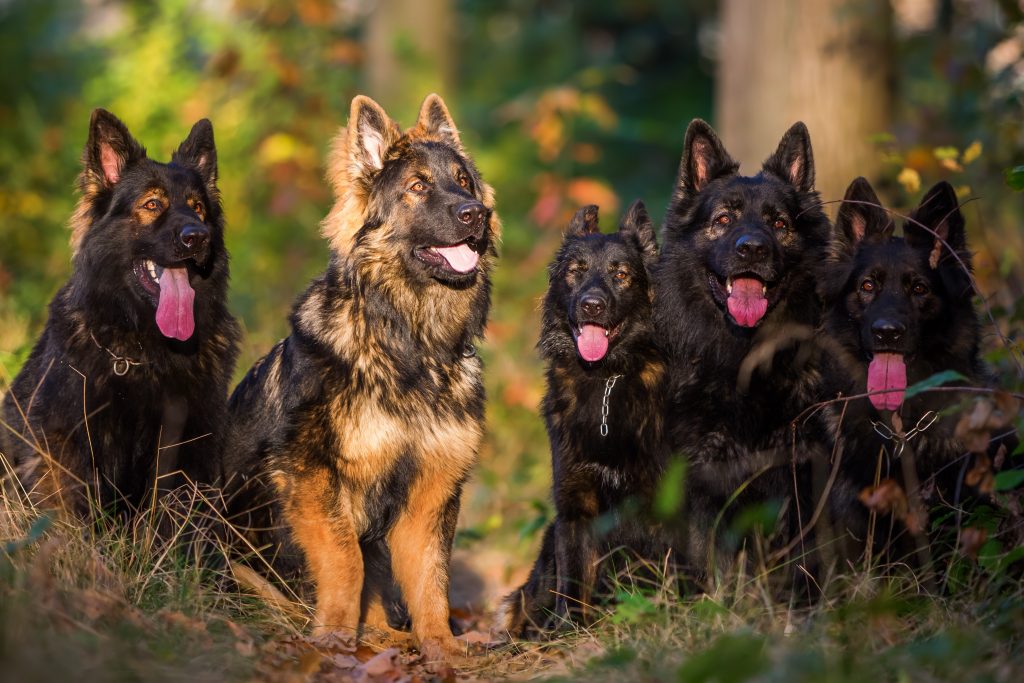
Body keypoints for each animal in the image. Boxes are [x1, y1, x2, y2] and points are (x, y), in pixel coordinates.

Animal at [1, 109, 239, 518]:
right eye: (152, 204)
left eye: (197, 208)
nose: (198, 237)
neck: (145, 348)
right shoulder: (66, 442)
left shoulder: (190, 440)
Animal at [222, 93, 497, 659]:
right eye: (418, 187)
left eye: (464, 181)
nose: (476, 212)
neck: (410, 345)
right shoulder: (311, 475)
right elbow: (345, 559)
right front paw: (333, 636)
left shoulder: (431, 490)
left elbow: (430, 578)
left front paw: (440, 646)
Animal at [495, 200, 671, 638]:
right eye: (576, 270)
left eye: (621, 274)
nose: (592, 305)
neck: (606, 378)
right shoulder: (574, 507)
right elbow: (573, 581)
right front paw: (568, 632)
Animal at [651, 120, 835, 573]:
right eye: (723, 218)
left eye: (779, 224)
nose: (751, 248)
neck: (744, 357)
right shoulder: (701, 480)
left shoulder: (800, 476)